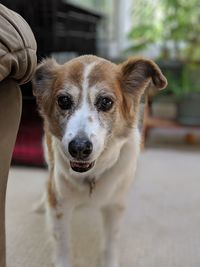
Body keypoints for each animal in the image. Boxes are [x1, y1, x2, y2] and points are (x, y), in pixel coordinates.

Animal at [32, 55, 167, 267]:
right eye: (64, 100)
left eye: (105, 102)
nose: (79, 148)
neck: (92, 175)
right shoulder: (59, 206)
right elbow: (63, 244)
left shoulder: (115, 206)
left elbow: (111, 243)